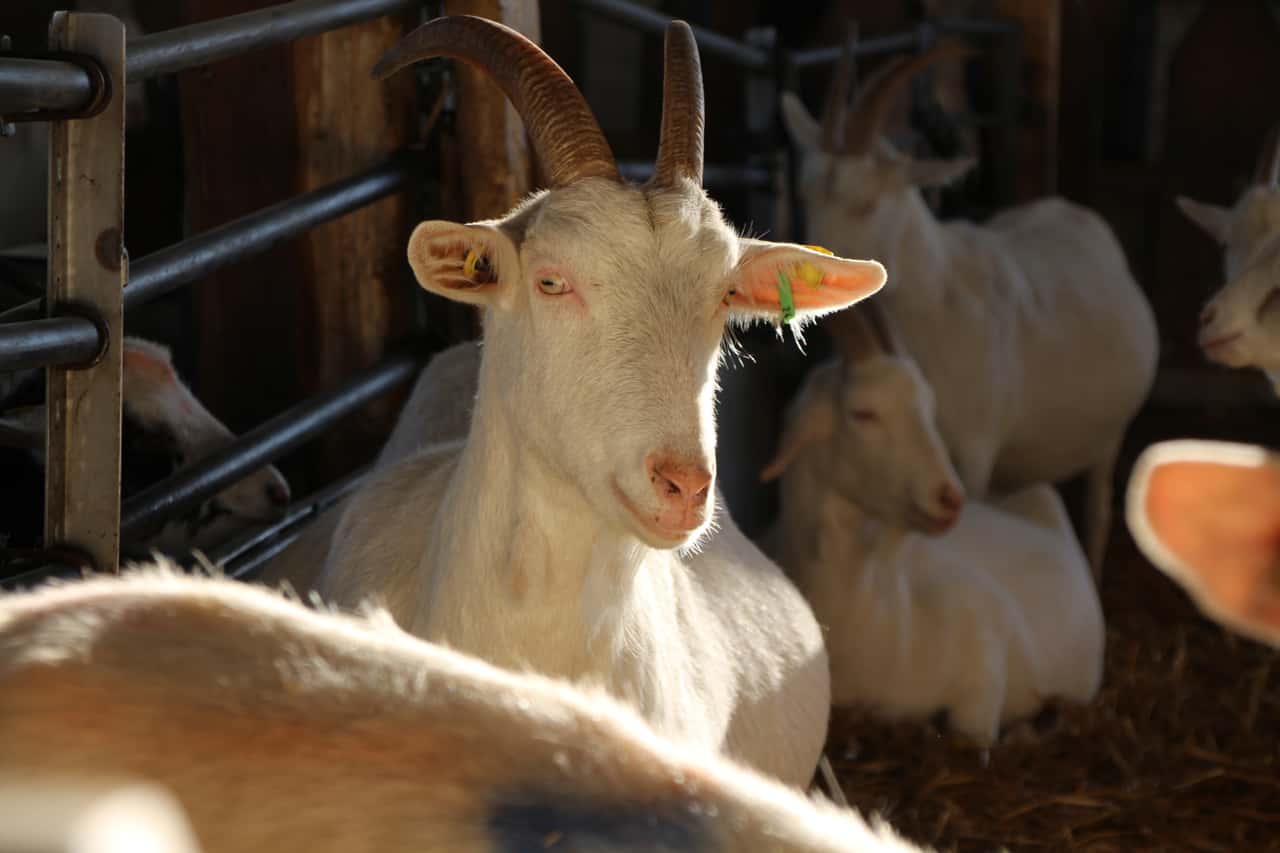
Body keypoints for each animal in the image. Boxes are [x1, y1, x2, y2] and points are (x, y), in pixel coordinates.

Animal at [779, 43, 1158, 576]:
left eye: (868, 203)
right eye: (805, 193)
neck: (936, 305)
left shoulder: (975, 455)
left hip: (1111, 432)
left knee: (1100, 506)